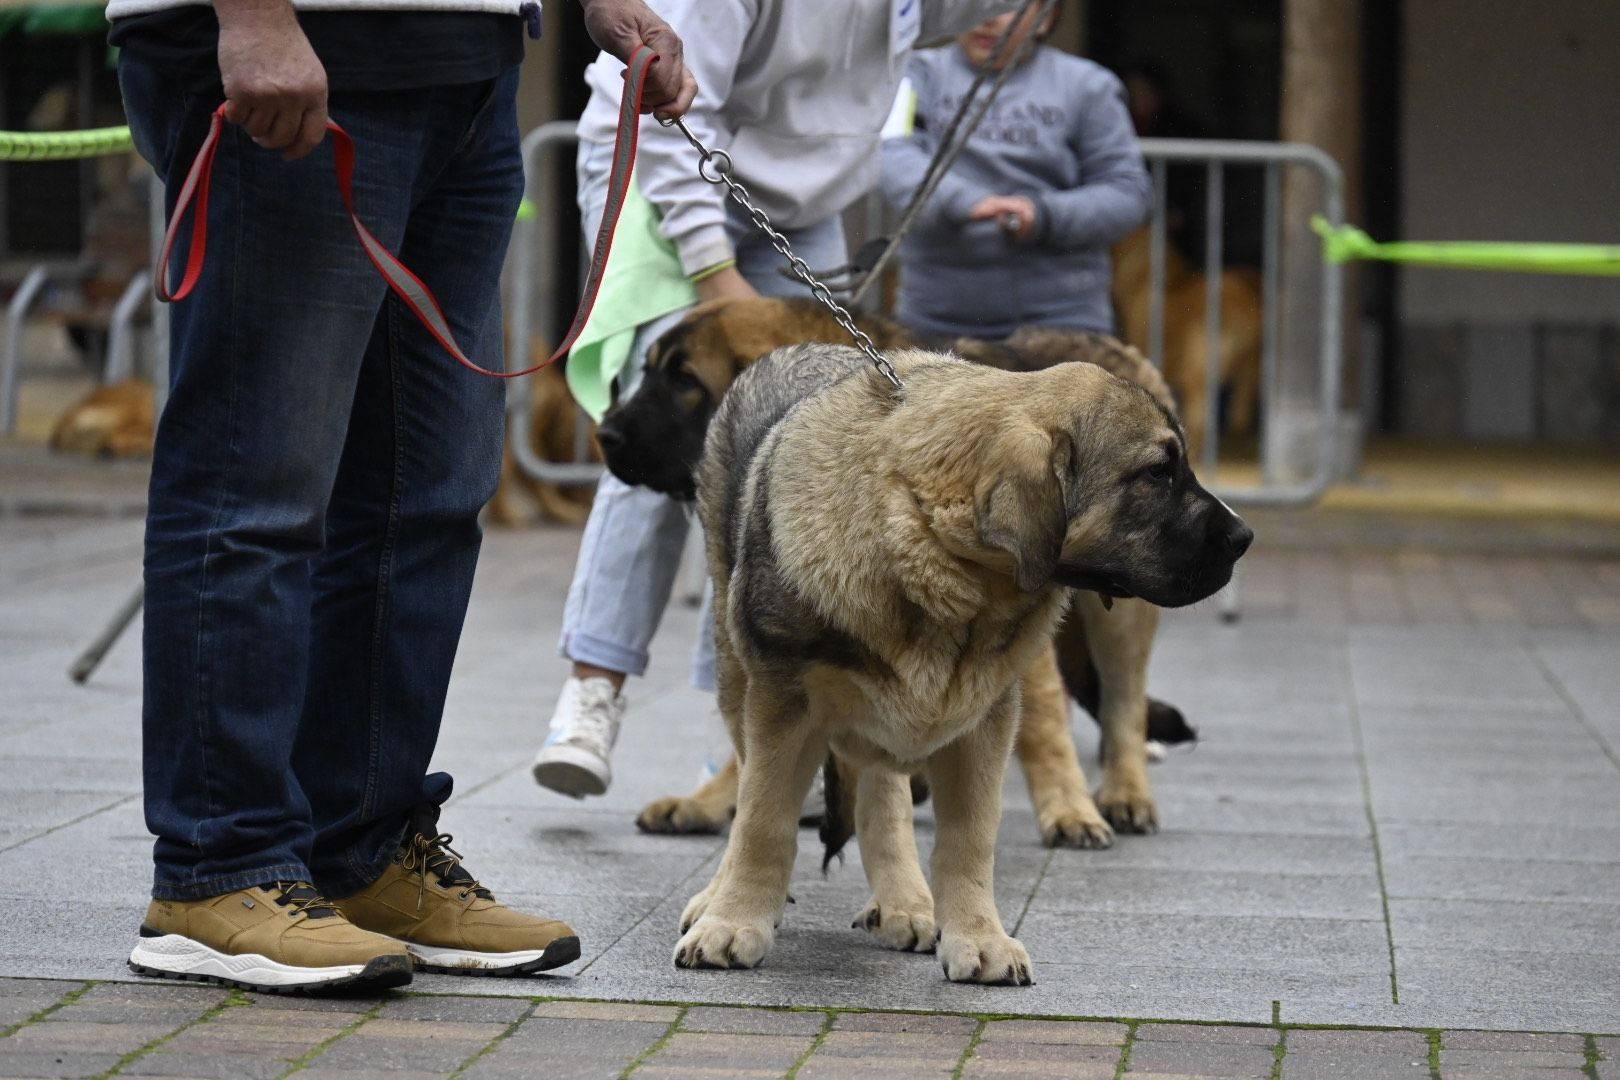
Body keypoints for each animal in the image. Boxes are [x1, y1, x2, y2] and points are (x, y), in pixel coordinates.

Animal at [602, 299, 1198, 848]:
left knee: (1123, 702)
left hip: (1124, 611)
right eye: (645, 370)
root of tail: (1118, 346)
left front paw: (1069, 809)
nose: (605, 434)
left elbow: (1046, 723)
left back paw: (1125, 791)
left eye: (683, 379)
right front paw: (715, 801)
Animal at [673, 344, 1250, 977]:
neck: (942, 566)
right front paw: (734, 922)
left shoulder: (981, 725)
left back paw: (904, 900)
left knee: (887, 795)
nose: (1245, 537)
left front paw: (978, 937)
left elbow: (969, 839)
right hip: (736, 674)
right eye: (1156, 473)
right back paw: (720, 897)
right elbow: (762, 820)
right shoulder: (784, 705)